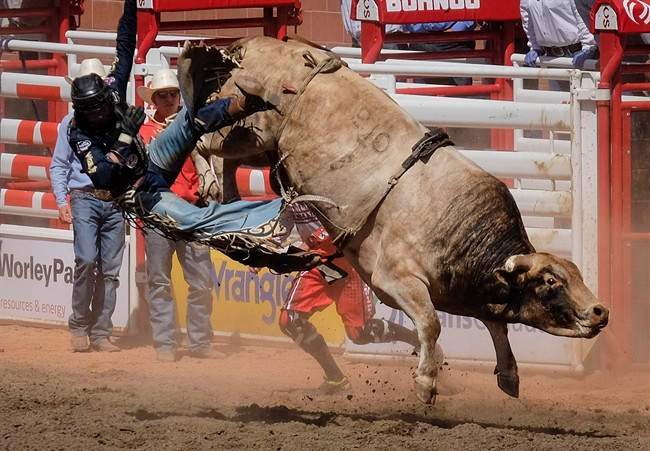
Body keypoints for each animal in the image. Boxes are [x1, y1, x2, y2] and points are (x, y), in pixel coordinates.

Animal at [178, 37, 609, 404]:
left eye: (576, 275)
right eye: (551, 281)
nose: (600, 311)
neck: (461, 231)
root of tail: (255, 44)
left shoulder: (461, 293)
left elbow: (496, 325)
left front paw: (509, 375)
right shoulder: (395, 280)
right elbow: (432, 324)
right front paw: (427, 382)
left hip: (257, 145)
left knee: (224, 160)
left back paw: (230, 201)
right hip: (247, 127)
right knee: (202, 139)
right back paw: (211, 186)